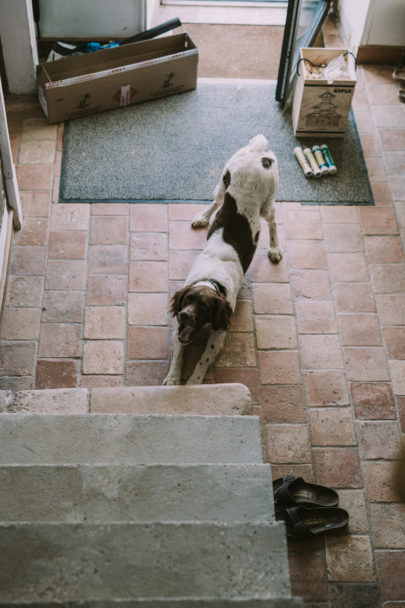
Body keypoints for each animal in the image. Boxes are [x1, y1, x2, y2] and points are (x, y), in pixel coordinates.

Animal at [163, 135, 280, 388]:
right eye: (187, 300)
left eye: (205, 307)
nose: (185, 315)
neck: (211, 278)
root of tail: (259, 153)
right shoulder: (180, 325)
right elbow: (178, 352)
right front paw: (173, 378)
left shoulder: (220, 331)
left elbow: (203, 359)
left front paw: (193, 383)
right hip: (222, 183)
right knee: (216, 203)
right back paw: (202, 217)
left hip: (268, 203)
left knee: (273, 222)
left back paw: (275, 248)